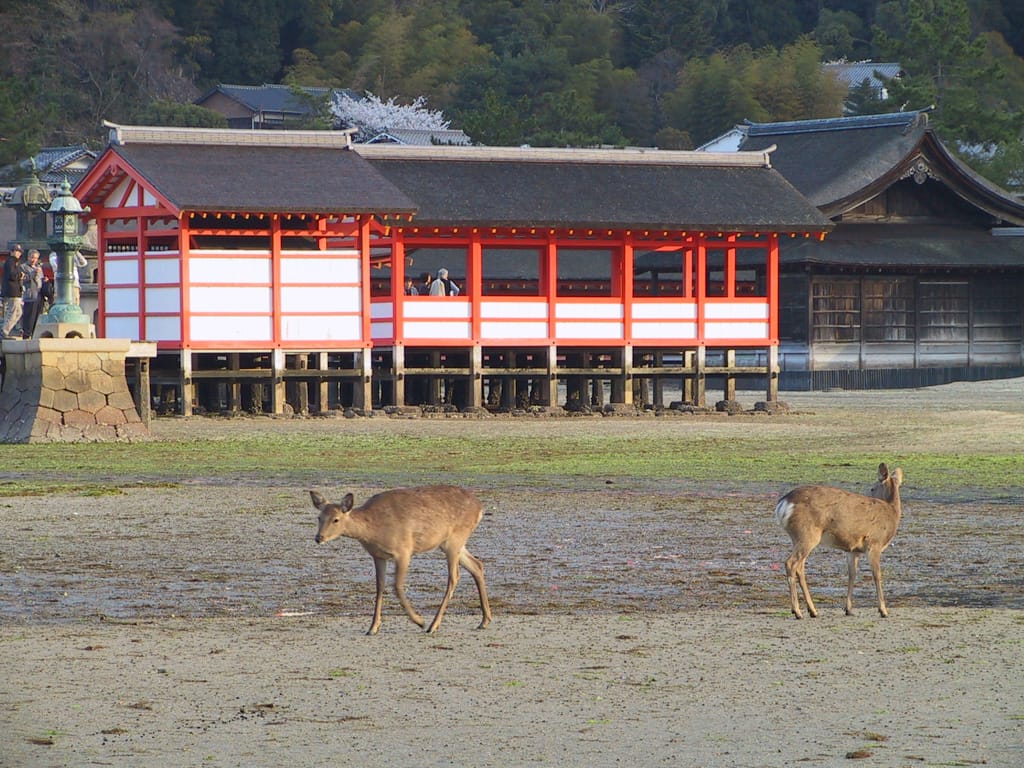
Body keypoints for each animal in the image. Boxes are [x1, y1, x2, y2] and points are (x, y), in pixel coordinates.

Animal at [310, 485, 492, 635]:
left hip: (454, 540)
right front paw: (373, 627)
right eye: (319, 517)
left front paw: (419, 621)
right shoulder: (378, 556)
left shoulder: (404, 550)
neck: (373, 530)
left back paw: (433, 625)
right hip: (452, 543)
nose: (319, 538)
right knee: (477, 565)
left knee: (454, 577)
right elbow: (380, 586)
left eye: (336, 519)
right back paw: (484, 621)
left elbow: (397, 586)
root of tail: (480, 508)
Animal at [774, 463, 904, 620]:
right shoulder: (874, 543)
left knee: (800, 567)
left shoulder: (853, 550)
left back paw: (812, 610)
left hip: (798, 537)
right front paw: (883, 610)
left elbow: (852, 575)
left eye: (872, 488)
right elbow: (877, 575)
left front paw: (848, 609)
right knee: (790, 563)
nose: (871, 493)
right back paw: (797, 611)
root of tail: (783, 504)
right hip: (807, 534)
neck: (891, 513)